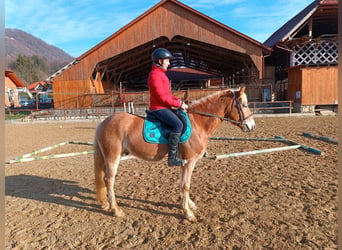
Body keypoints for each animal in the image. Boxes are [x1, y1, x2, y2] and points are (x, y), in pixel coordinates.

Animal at [93, 87, 254, 222]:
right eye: (244, 105)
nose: (252, 126)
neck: (198, 123)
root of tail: (103, 122)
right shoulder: (190, 161)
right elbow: (186, 185)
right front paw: (188, 213)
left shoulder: (184, 163)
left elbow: (183, 184)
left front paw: (188, 204)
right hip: (113, 158)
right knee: (109, 180)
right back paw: (116, 210)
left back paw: (106, 204)